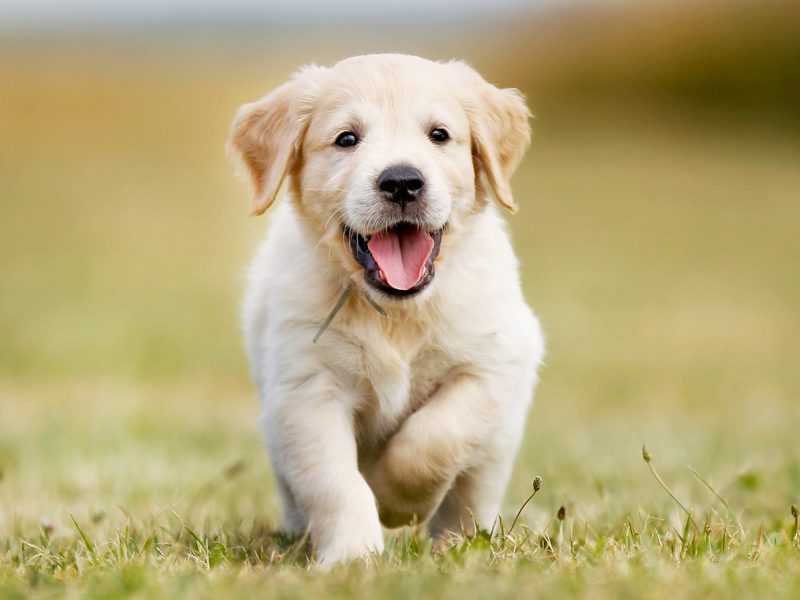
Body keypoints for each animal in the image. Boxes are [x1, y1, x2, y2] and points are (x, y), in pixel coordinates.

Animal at [228, 54, 548, 564]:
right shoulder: (306, 391)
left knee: (471, 493)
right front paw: (353, 556)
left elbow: (436, 437)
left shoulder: (494, 363)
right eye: (346, 139)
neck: (397, 313)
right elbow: (335, 483)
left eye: (439, 134)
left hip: (498, 444)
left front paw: (397, 501)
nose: (402, 181)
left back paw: (459, 543)